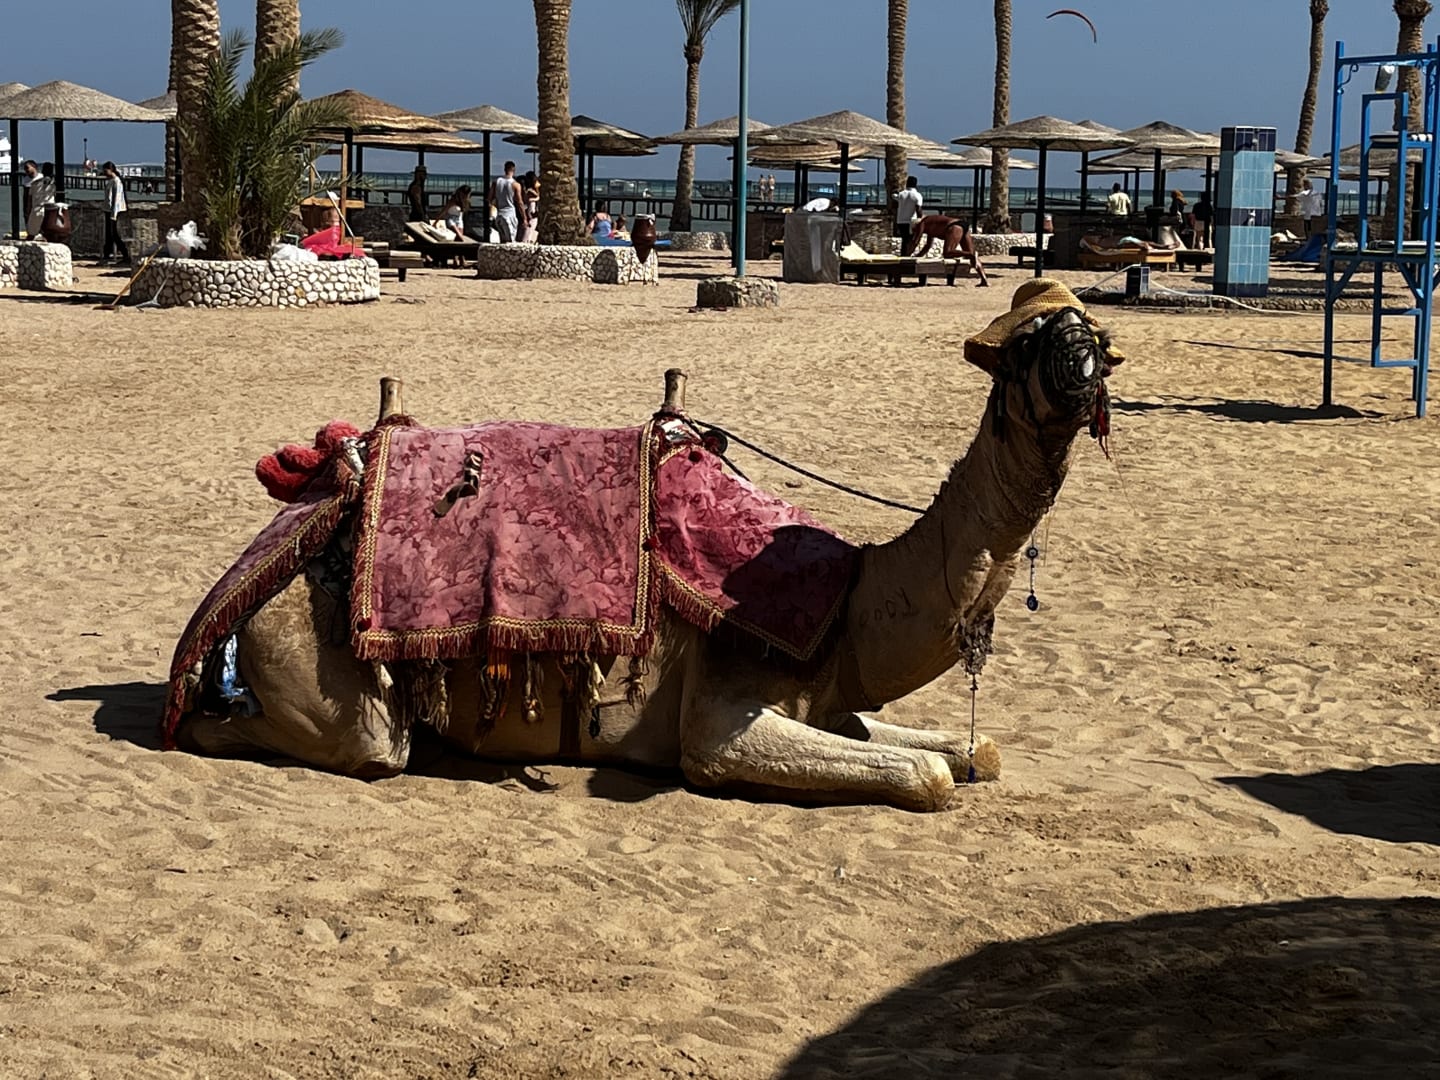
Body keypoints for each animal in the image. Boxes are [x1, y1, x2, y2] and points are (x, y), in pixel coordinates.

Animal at [170, 280, 1122, 812]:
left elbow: (974, 753)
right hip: (322, 673)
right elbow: (926, 778)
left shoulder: (830, 700)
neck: (853, 601)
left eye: (1097, 337)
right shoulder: (722, 717)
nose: (1082, 376)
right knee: (345, 743)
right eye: (1031, 342)